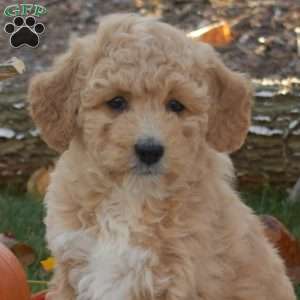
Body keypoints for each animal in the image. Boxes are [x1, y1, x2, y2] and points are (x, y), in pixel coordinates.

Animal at [28, 13, 296, 300]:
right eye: (116, 102)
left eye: (176, 105)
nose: (149, 151)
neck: (131, 196)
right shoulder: (71, 264)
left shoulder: (182, 279)